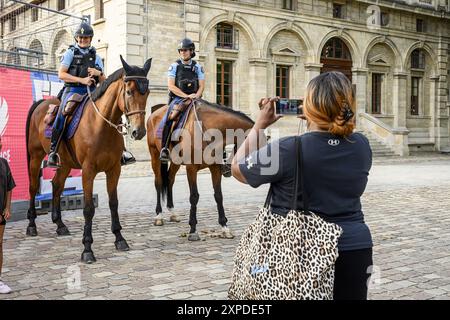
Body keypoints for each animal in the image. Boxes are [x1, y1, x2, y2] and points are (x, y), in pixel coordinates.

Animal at [25, 56, 152, 264]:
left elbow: (113, 203)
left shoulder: (114, 169)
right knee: (33, 187)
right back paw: (32, 225)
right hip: (35, 157)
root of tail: (41, 104)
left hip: (65, 163)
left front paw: (119, 239)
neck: (100, 125)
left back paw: (59, 224)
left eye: (147, 92)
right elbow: (88, 208)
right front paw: (87, 248)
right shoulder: (88, 171)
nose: (138, 131)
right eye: (129, 92)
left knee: (57, 185)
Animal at [147, 99, 255, 240]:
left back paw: (172, 212)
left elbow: (218, 196)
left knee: (170, 180)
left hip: (175, 161)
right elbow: (194, 196)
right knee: (159, 182)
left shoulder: (215, 168)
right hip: (154, 155)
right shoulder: (191, 168)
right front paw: (193, 230)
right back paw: (158, 215)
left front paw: (224, 227)